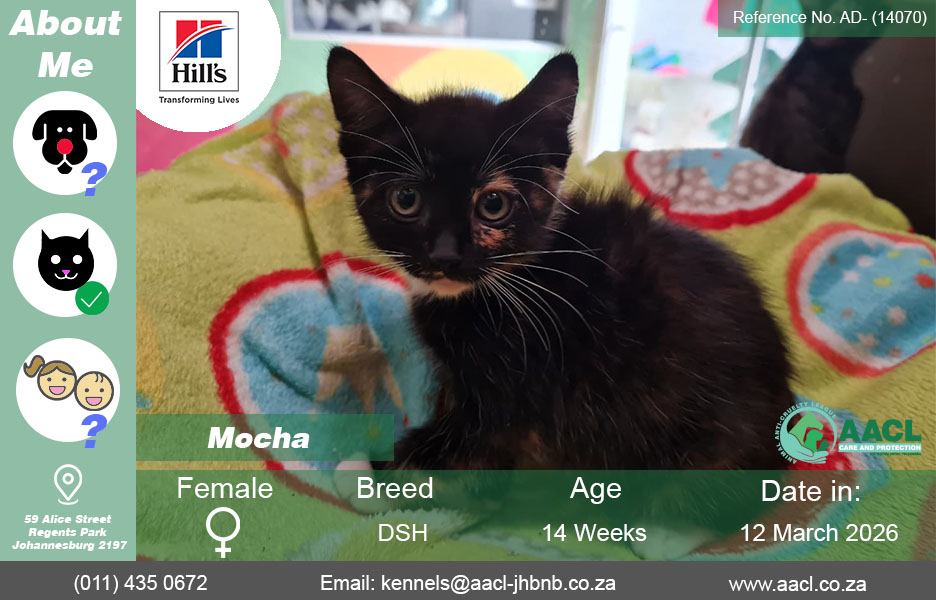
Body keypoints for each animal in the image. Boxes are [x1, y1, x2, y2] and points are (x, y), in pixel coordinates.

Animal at [326, 47, 794, 558]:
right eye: (406, 199)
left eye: (493, 206)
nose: (445, 255)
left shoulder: (521, 384)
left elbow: (461, 449)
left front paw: (367, 476)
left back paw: (666, 530)